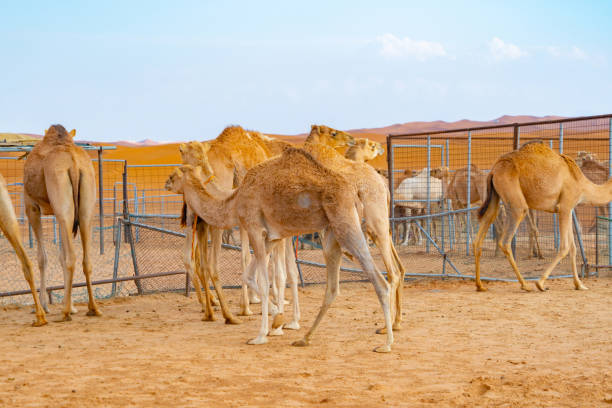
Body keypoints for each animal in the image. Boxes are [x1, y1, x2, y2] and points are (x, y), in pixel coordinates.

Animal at [23, 125, 101, 322]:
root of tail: (73, 164)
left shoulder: (31, 206)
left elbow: (42, 258)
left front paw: (44, 306)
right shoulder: (58, 213)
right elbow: (59, 255)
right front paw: (72, 306)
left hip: (59, 198)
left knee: (71, 257)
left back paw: (65, 312)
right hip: (84, 207)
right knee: (85, 259)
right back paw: (92, 308)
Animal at [165, 148, 392, 352]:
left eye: (173, 175)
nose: (166, 182)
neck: (235, 201)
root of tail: (354, 193)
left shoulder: (255, 229)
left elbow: (264, 282)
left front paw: (261, 335)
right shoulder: (272, 238)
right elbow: (250, 276)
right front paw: (278, 319)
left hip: (346, 223)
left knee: (380, 281)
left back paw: (387, 343)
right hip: (331, 235)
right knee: (333, 288)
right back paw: (304, 339)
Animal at [302, 126, 406, 334]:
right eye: (333, 133)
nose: (380, 148)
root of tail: (383, 186)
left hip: (375, 223)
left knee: (392, 273)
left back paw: (387, 326)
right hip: (382, 223)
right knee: (398, 268)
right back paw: (396, 322)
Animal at [474, 142, 612, 292]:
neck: (582, 185)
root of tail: (494, 170)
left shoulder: (569, 209)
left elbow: (573, 248)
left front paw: (579, 284)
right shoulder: (564, 206)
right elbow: (564, 247)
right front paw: (540, 283)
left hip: (494, 195)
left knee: (483, 228)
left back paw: (480, 285)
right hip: (515, 199)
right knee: (505, 240)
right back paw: (525, 285)